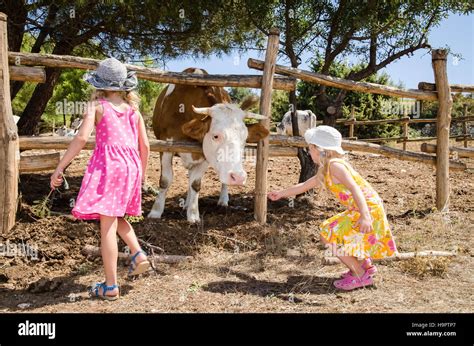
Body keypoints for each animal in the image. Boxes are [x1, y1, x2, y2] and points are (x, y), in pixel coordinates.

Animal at [146, 68, 268, 224]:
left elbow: (195, 184)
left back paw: (222, 200)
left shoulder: (204, 154)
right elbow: (165, 180)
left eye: (245, 138)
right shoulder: (166, 146)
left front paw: (193, 214)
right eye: (215, 136)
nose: (239, 177)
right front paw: (156, 211)